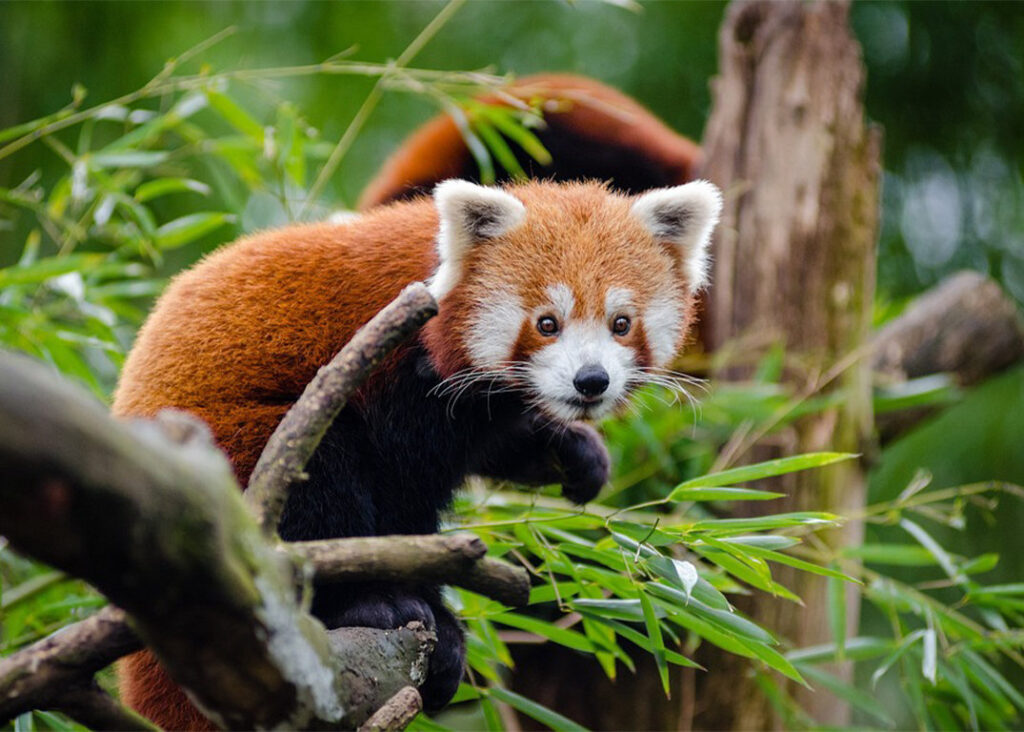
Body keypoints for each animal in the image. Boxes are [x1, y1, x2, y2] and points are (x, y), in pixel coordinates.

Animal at [114, 176, 720, 728]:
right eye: (547, 324)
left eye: (621, 324)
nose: (590, 381)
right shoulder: (395, 377)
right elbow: (403, 501)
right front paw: (419, 604)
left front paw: (575, 453)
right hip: (245, 444)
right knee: (319, 486)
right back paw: (371, 605)